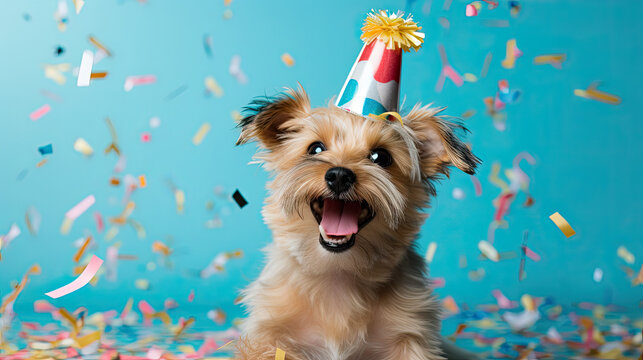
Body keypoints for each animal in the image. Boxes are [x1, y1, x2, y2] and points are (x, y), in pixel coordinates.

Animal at [234, 88, 480, 360]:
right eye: (315, 149)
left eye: (380, 157)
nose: (339, 175)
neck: (338, 273)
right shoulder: (270, 335)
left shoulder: (409, 336)